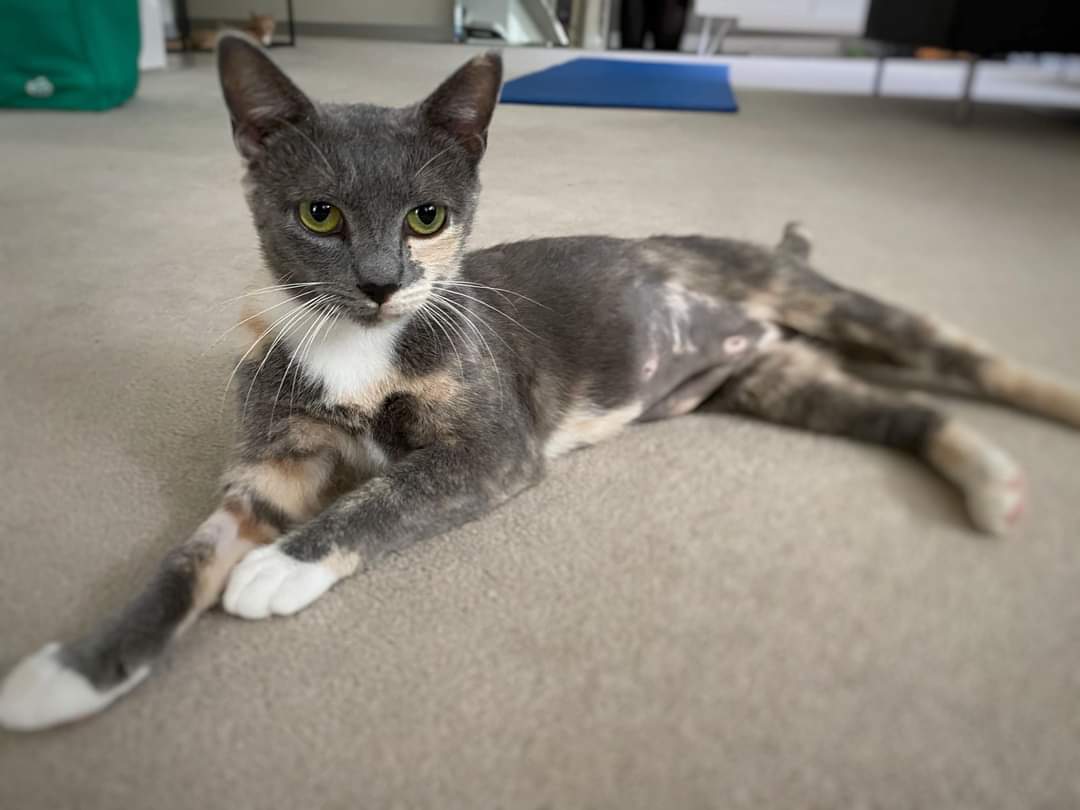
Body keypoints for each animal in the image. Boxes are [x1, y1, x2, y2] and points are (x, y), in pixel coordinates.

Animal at [1, 33, 1078, 732]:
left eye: (429, 217)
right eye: (318, 215)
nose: (382, 282)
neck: (358, 345)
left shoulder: (493, 447)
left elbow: (392, 490)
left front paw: (284, 566)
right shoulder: (274, 463)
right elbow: (188, 556)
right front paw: (77, 670)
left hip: (817, 300)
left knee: (965, 358)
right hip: (775, 378)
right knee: (906, 412)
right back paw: (992, 482)